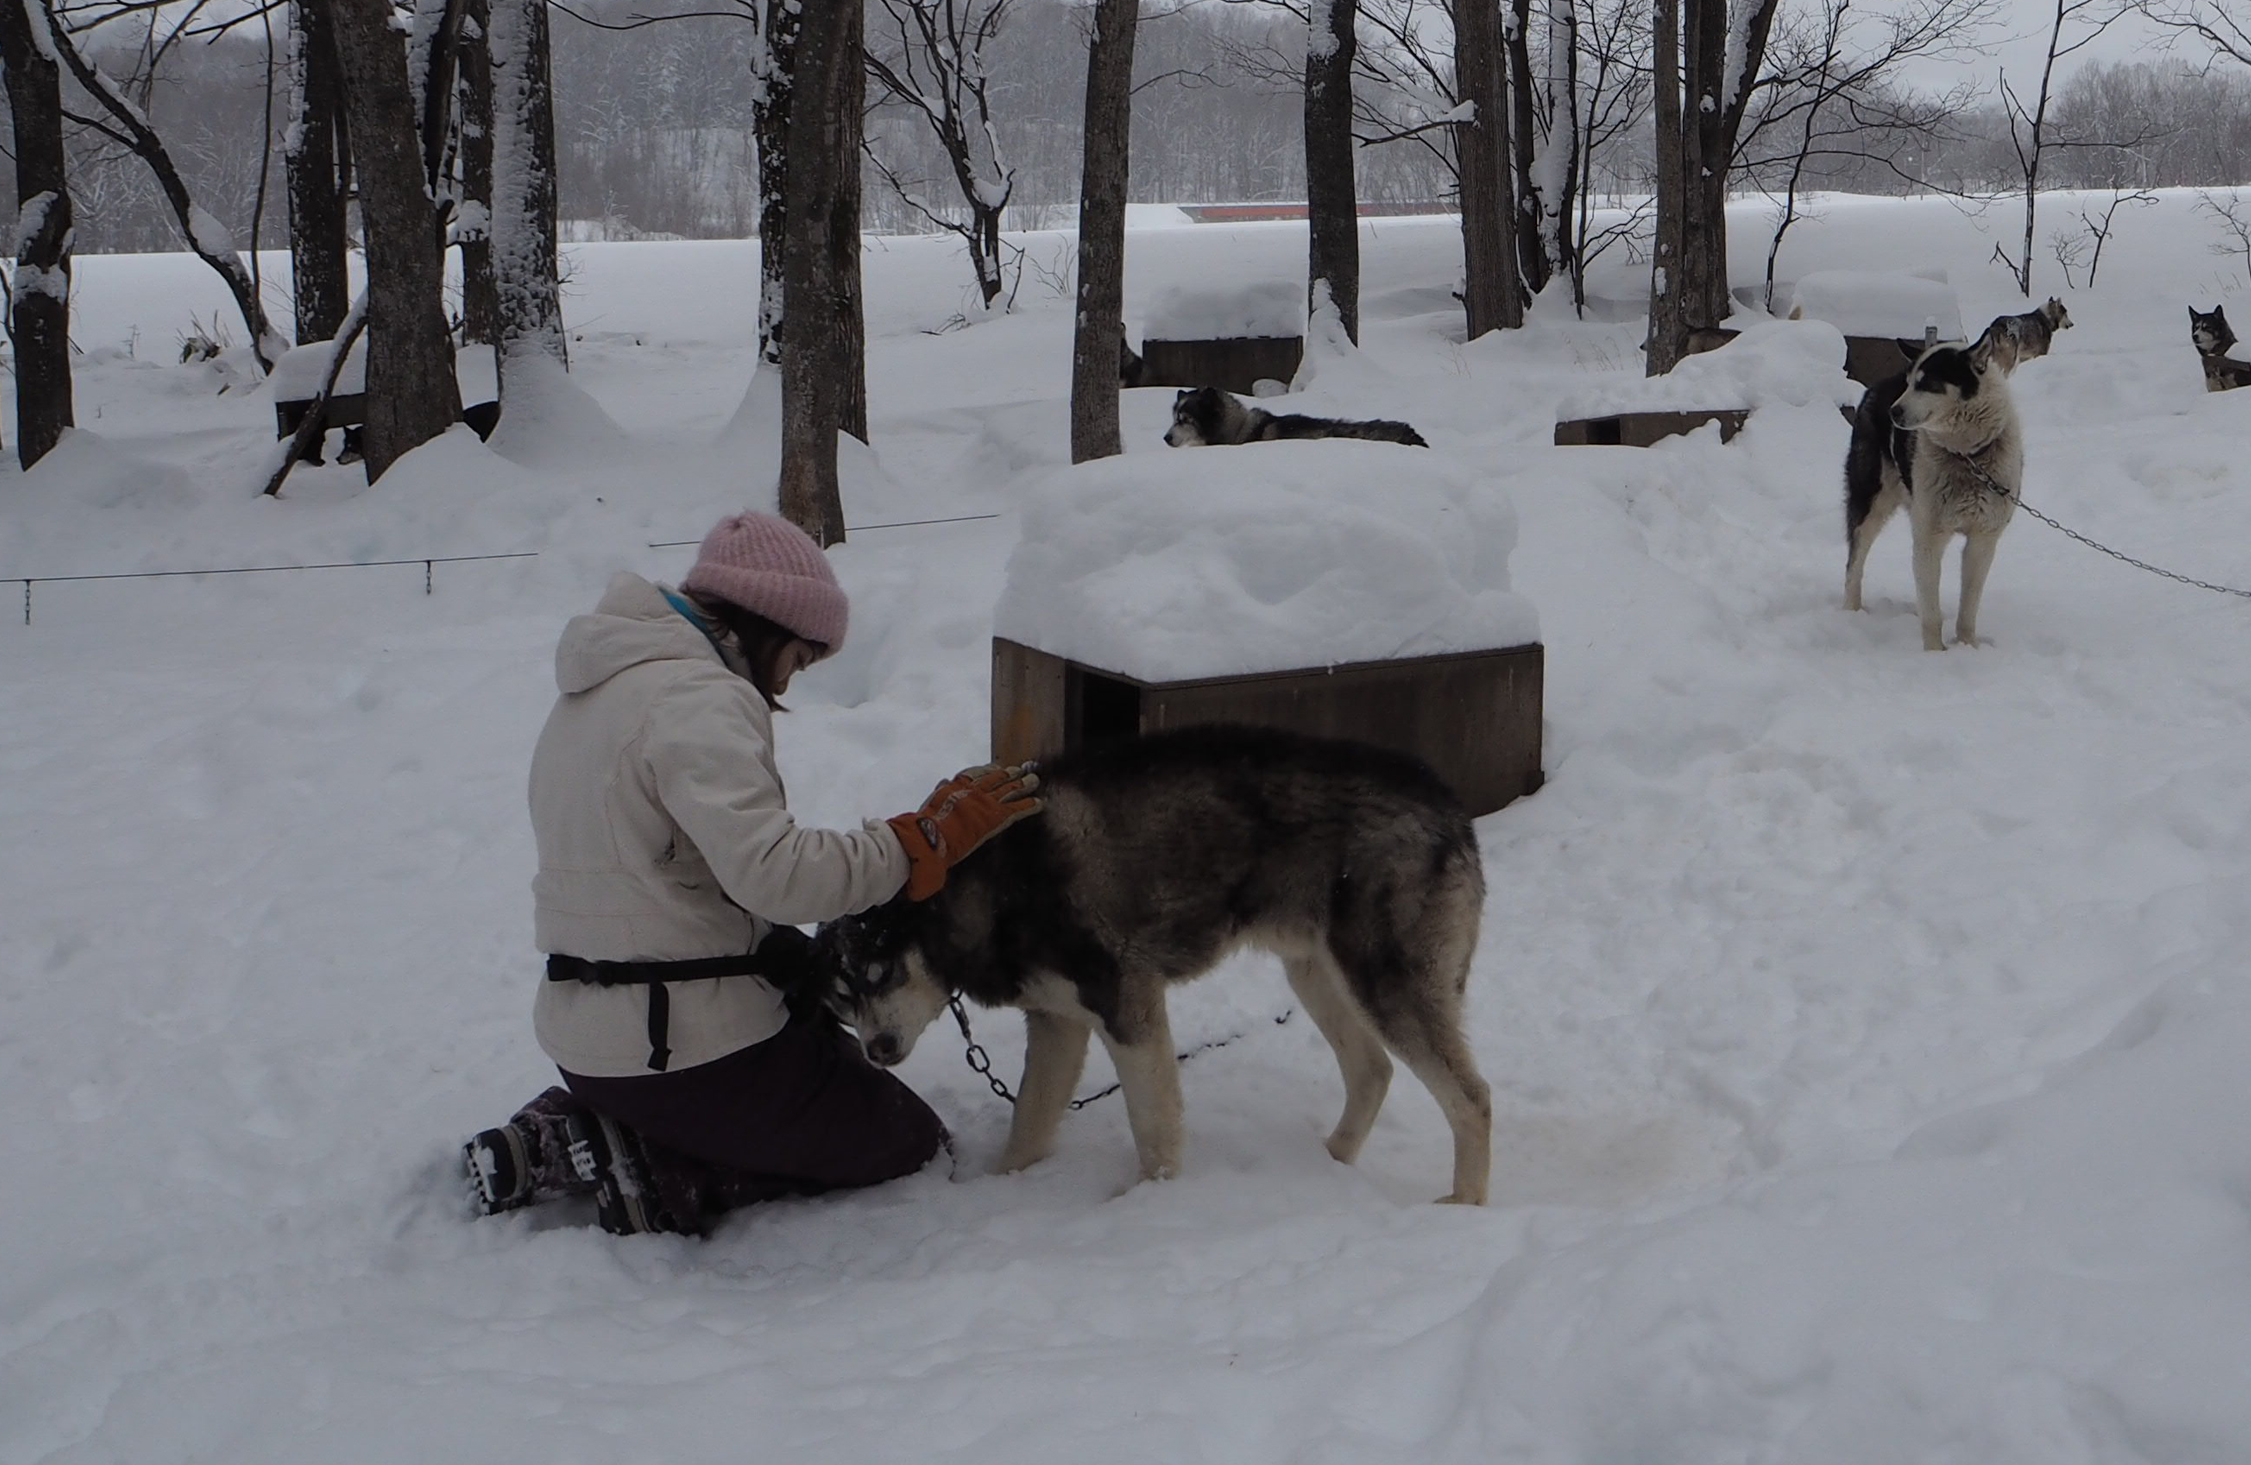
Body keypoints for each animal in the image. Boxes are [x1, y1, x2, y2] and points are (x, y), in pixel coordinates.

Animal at [810, 729, 1494, 1206]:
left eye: (878, 972)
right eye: (841, 1001)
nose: (876, 1050)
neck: (983, 883)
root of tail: (1449, 805)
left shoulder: (1126, 1004)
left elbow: (1153, 1121)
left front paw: (1148, 1200)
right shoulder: (1059, 1023)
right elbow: (1030, 1119)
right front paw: (1003, 1187)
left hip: (1383, 982)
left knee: (1472, 1097)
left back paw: (1464, 1203)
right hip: (1315, 974)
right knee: (1374, 1070)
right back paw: (1330, 1161)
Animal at [1845, 337, 2025, 652]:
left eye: (1927, 383)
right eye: (1909, 384)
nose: (1893, 412)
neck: (1968, 458)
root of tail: (1879, 385)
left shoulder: (1982, 541)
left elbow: (1968, 607)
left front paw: (1967, 647)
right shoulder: (1929, 538)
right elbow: (1932, 613)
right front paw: (1934, 654)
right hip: (1871, 502)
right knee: (1854, 562)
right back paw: (1850, 612)